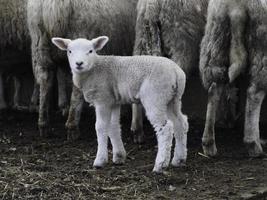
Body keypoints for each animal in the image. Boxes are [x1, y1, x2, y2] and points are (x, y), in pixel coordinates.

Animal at [27, 0, 139, 140]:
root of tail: (54, 5)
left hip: (40, 44)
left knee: (45, 81)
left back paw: (43, 124)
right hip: (81, 39)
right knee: (76, 90)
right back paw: (72, 126)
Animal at [52, 36, 189, 173]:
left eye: (90, 51)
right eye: (69, 51)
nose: (79, 63)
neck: (94, 68)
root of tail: (176, 72)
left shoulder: (102, 100)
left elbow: (101, 127)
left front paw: (100, 161)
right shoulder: (113, 102)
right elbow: (113, 127)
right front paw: (119, 156)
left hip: (155, 96)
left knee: (165, 128)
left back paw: (160, 164)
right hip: (173, 99)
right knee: (180, 123)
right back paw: (179, 159)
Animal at [200, 0, 266, 157]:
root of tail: (236, 6)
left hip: (218, 37)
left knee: (214, 88)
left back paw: (209, 144)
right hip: (261, 40)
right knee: (254, 93)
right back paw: (253, 145)